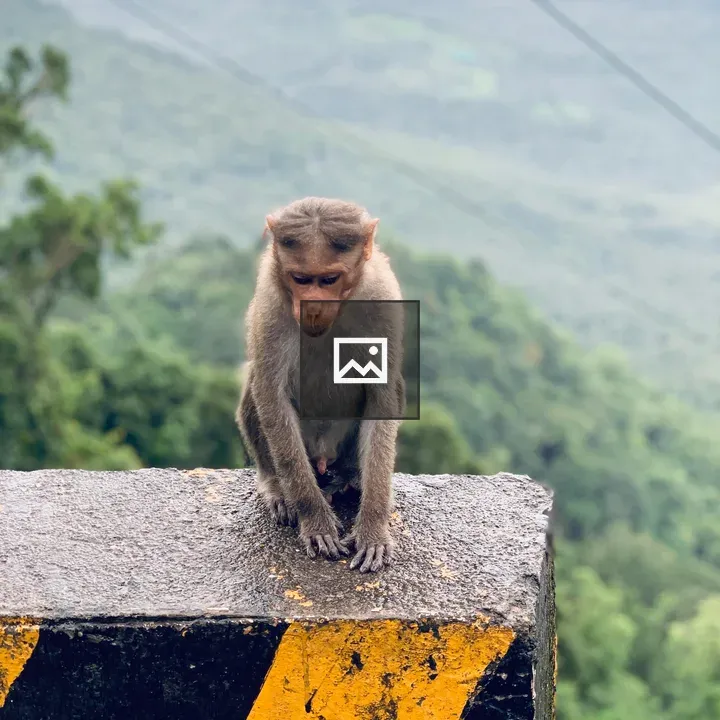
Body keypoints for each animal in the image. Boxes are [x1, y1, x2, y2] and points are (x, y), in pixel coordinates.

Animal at [236, 197, 405, 573]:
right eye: (301, 279)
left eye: (329, 279)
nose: (312, 307)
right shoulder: (270, 303)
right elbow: (271, 394)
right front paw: (315, 521)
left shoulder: (383, 296)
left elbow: (383, 393)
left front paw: (373, 526)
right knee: (256, 388)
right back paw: (278, 488)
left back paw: (351, 478)